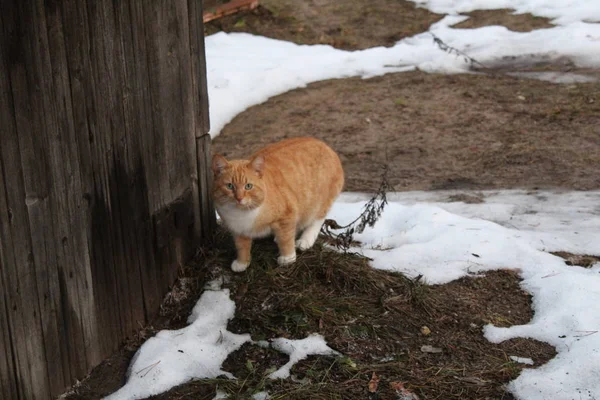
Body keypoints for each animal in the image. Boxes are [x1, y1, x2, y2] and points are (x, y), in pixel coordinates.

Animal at [212, 137, 344, 272]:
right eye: (229, 186)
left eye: (248, 186)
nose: (239, 198)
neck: (241, 214)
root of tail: (324, 144)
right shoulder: (238, 230)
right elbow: (241, 246)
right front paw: (242, 262)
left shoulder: (287, 214)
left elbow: (286, 239)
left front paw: (288, 258)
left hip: (318, 203)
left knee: (317, 220)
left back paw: (305, 240)